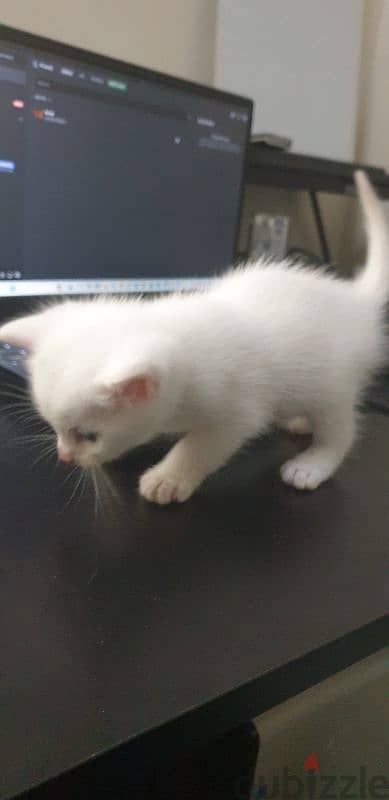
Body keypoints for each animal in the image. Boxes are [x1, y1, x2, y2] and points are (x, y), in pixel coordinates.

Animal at [0, 172, 386, 504]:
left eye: (89, 435)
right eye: (55, 428)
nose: (64, 456)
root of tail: (355, 301)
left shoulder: (238, 412)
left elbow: (200, 446)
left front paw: (168, 477)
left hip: (333, 383)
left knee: (342, 430)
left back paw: (313, 463)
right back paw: (298, 419)